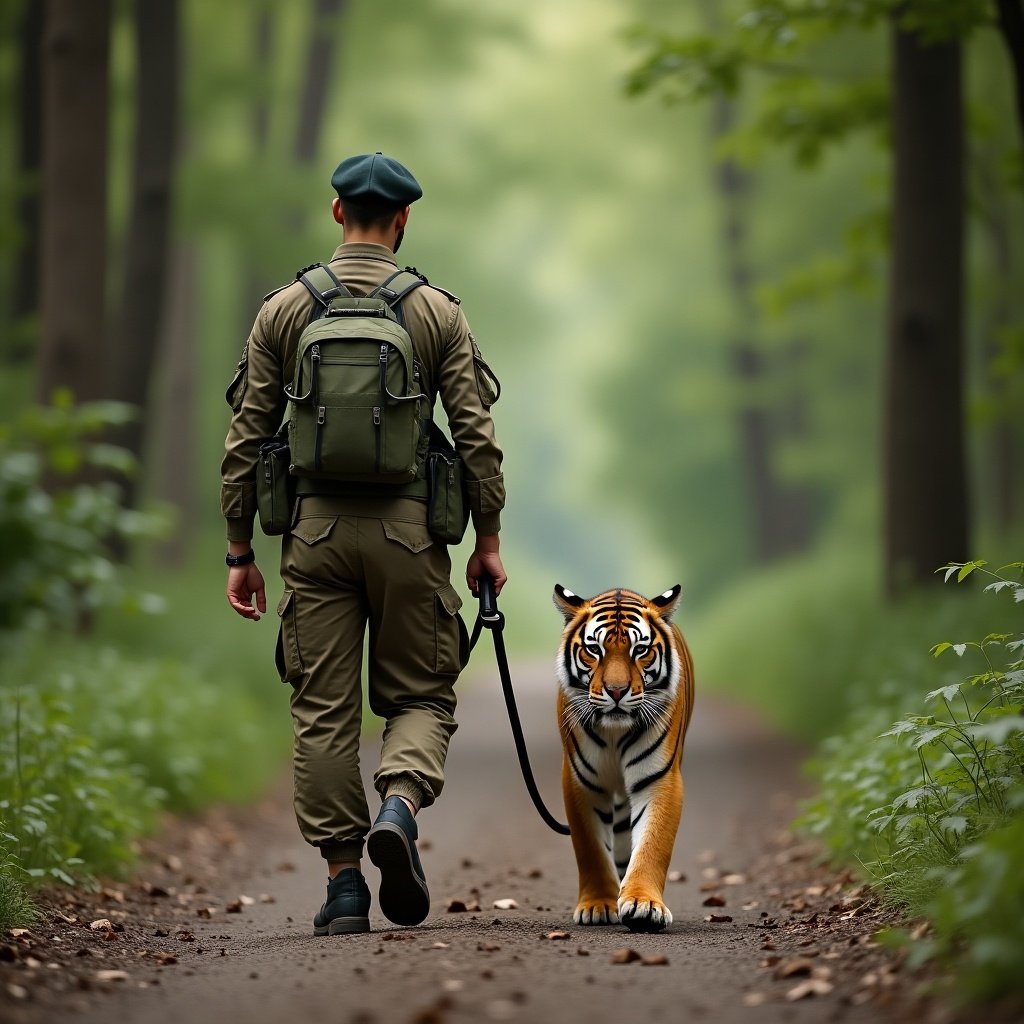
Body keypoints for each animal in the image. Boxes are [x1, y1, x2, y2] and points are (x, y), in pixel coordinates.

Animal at [552, 581, 696, 933]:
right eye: (594, 650)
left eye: (640, 650)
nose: (616, 691)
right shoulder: (581, 782)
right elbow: (589, 848)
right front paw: (598, 905)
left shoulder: (660, 780)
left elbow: (653, 845)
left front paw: (644, 905)